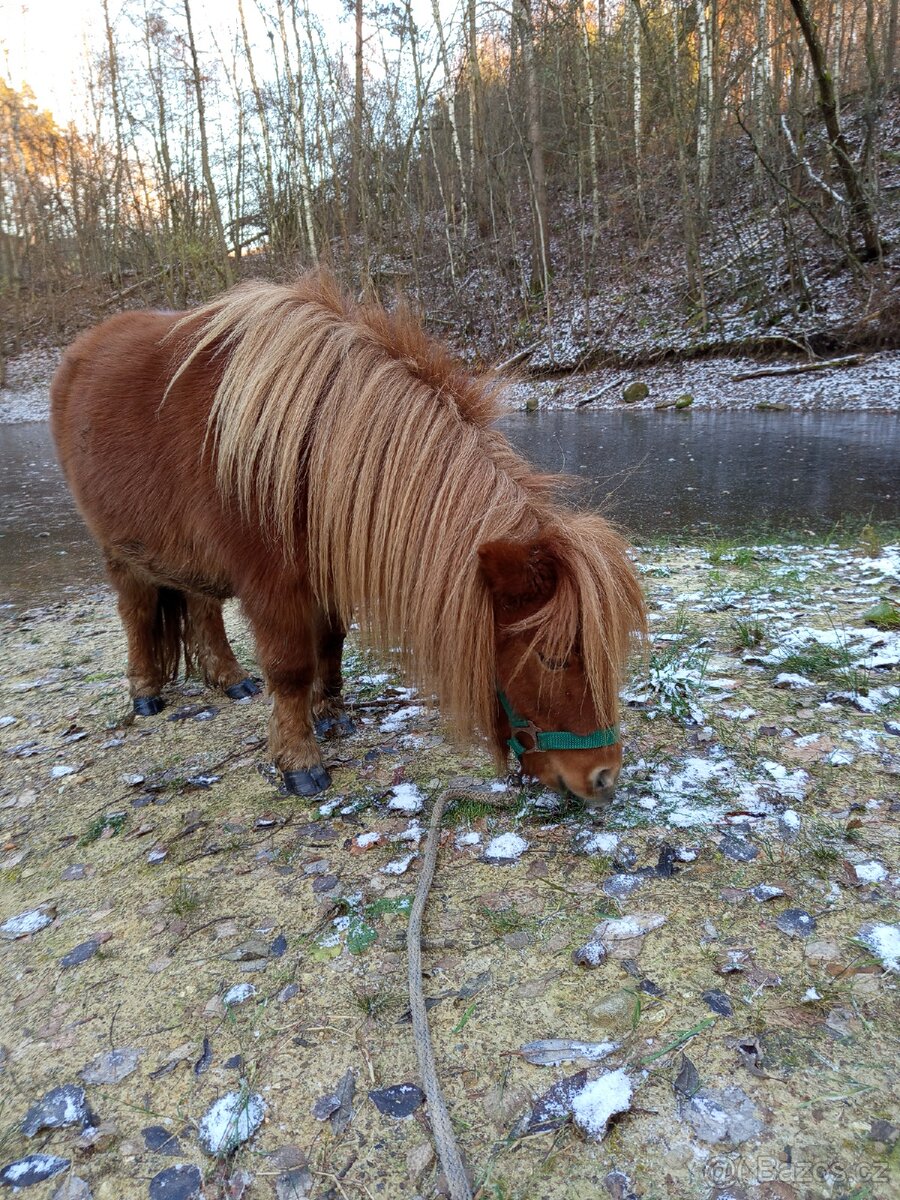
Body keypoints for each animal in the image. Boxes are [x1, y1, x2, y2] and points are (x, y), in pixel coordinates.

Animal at [50, 272, 646, 806]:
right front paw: (299, 762)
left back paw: (230, 679)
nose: (603, 777)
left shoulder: (325, 569)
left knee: (202, 606)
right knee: (136, 611)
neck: (306, 448)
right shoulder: (272, 585)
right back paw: (146, 693)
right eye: (551, 658)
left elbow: (330, 642)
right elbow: (291, 668)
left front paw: (330, 715)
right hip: (118, 549)